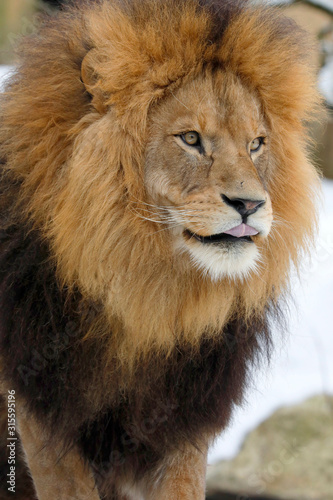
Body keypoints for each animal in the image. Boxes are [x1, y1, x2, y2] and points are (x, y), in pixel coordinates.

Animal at [0, 0, 322, 498]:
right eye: (190, 139)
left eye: (256, 144)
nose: (250, 205)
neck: (147, 295)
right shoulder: (41, 408)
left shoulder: (184, 415)